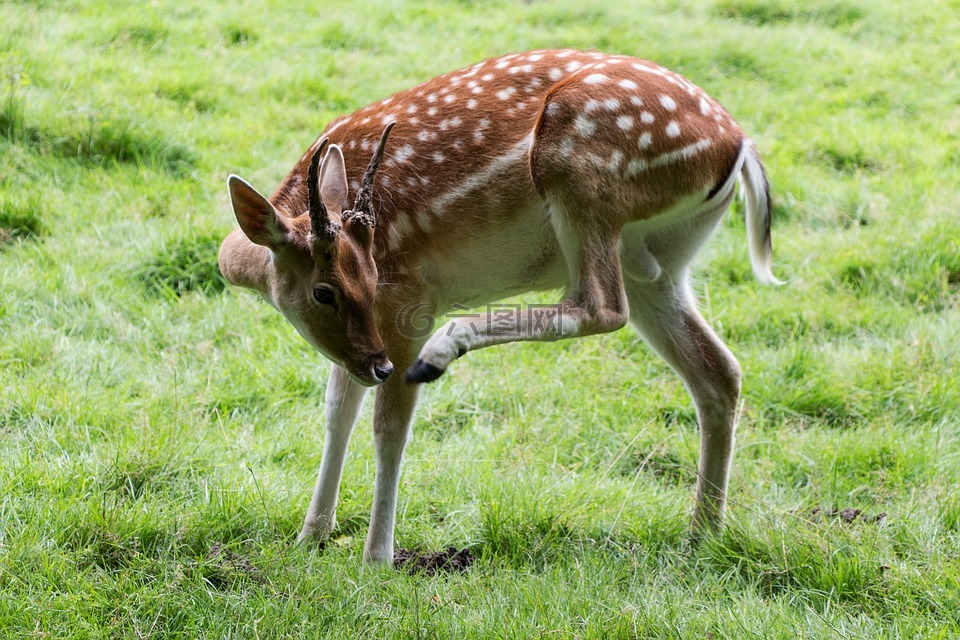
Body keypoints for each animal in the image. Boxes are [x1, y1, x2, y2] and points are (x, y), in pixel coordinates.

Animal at [218, 49, 779, 564]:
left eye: (368, 277)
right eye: (324, 292)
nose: (380, 367)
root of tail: (740, 148)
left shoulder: (408, 299)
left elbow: (388, 427)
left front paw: (377, 556)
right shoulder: (362, 339)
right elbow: (337, 411)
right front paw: (309, 536)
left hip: (580, 171)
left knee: (602, 306)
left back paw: (446, 348)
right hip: (659, 261)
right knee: (718, 371)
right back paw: (702, 534)